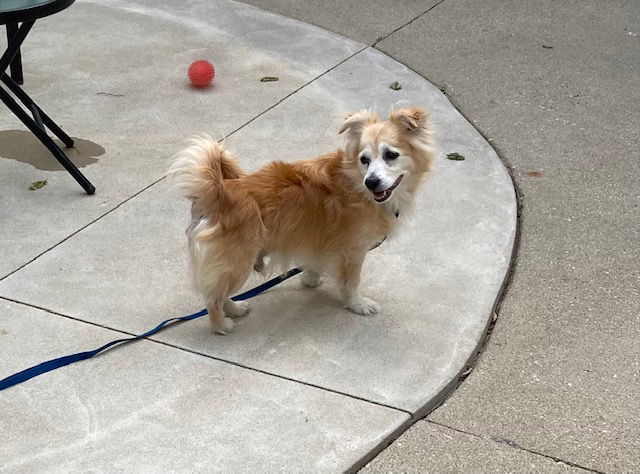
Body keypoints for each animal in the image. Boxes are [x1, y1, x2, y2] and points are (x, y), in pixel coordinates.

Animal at [169, 108, 436, 334]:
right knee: (213, 297)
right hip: (237, 262)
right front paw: (357, 304)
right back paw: (222, 324)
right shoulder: (353, 252)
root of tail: (219, 192)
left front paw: (310, 279)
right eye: (364, 160)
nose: (371, 181)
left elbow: (315, 261)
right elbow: (351, 283)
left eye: (391, 155)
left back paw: (234, 308)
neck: (357, 185)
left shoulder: (320, 241)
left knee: (219, 291)